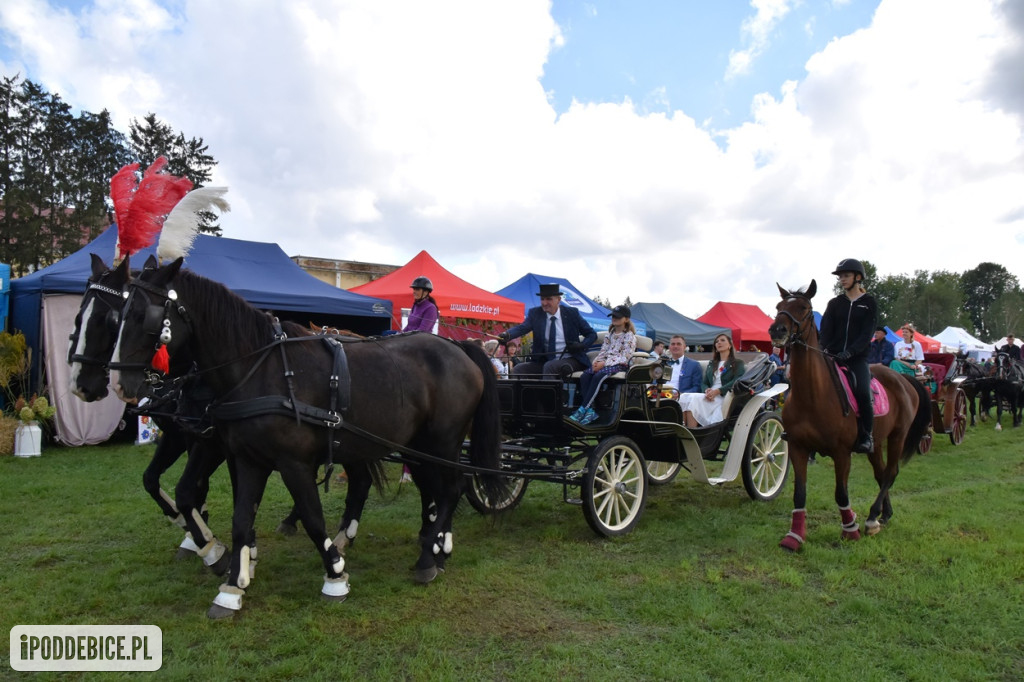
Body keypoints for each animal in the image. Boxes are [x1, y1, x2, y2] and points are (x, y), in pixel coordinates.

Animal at [110, 254, 505, 614]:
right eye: (118, 313)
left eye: (144, 315)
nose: (118, 382)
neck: (261, 370)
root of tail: (459, 347)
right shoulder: (248, 460)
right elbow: (240, 519)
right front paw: (232, 586)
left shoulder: (292, 462)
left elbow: (313, 517)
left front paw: (335, 575)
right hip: (415, 446)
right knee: (434, 489)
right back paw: (438, 548)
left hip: (443, 442)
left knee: (450, 489)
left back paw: (428, 558)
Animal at [765, 278, 933, 548]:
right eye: (779, 306)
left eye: (804, 307)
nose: (777, 331)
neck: (813, 395)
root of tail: (904, 378)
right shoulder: (799, 448)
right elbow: (799, 494)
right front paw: (794, 537)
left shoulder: (842, 453)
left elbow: (841, 493)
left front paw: (850, 529)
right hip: (875, 442)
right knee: (880, 472)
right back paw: (885, 514)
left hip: (898, 436)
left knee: (891, 472)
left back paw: (872, 518)